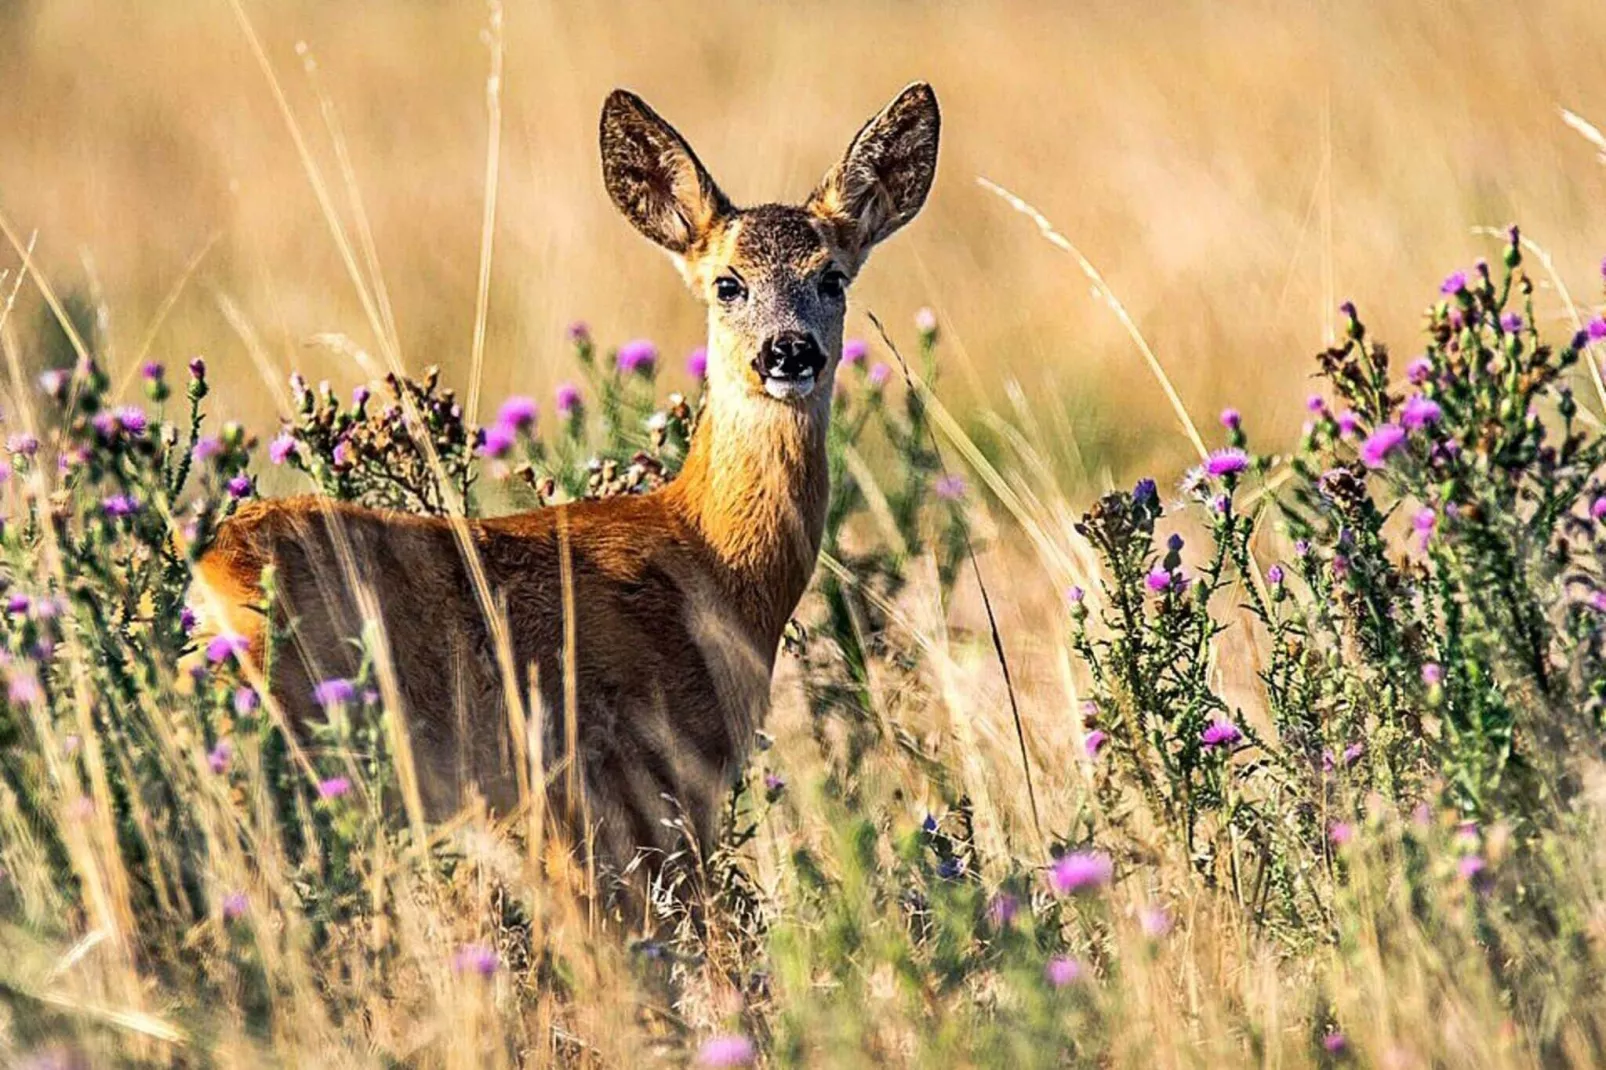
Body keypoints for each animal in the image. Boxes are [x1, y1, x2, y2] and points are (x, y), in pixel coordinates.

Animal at [194, 81, 937, 893]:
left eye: (832, 277)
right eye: (727, 284)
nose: (788, 351)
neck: (711, 561)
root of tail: (208, 572)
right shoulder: (638, 782)